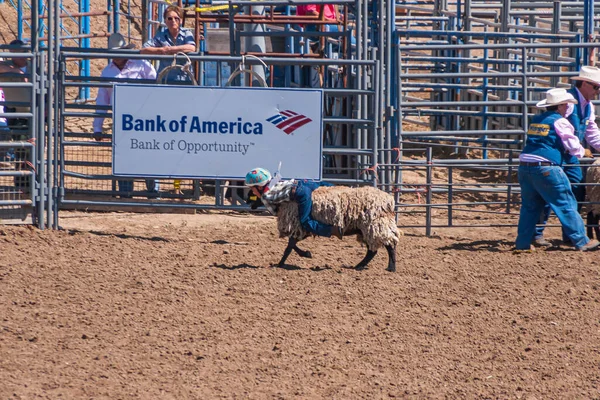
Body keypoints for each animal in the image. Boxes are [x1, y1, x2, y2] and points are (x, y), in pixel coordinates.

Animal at [270, 184, 400, 272]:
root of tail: (389, 200)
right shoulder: (303, 228)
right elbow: (291, 245)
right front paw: (305, 254)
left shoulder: (299, 227)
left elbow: (289, 246)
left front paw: (280, 264)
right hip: (366, 229)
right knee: (373, 250)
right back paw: (359, 266)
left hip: (375, 225)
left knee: (389, 245)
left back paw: (391, 268)